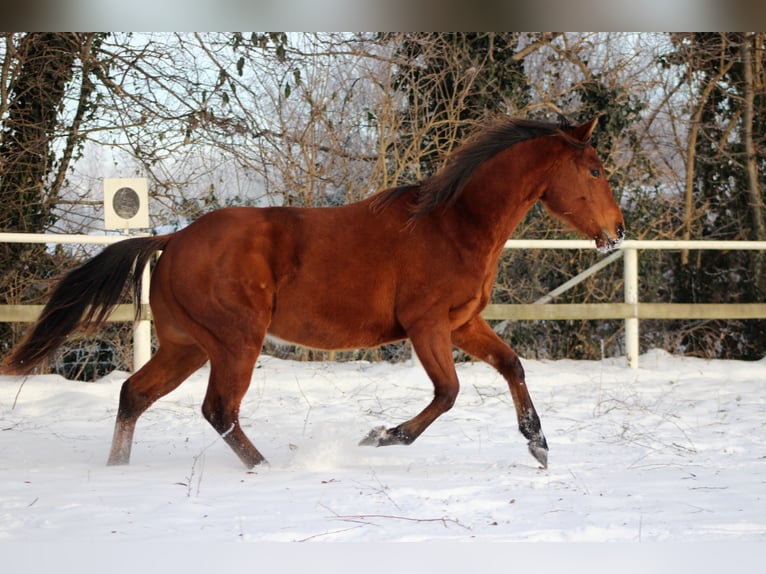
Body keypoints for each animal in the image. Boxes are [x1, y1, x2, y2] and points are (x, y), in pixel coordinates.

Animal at [2, 116, 625, 470]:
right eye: (595, 170)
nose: (617, 231)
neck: (453, 224)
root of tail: (173, 238)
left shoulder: (461, 323)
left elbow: (512, 365)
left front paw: (538, 445)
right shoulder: (426, 325)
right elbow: (447, 394)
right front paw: (380, 437)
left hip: (188, 346)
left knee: (135, 395)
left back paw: (118, 470)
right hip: (235, 342)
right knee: (218, 410)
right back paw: (266, 470)